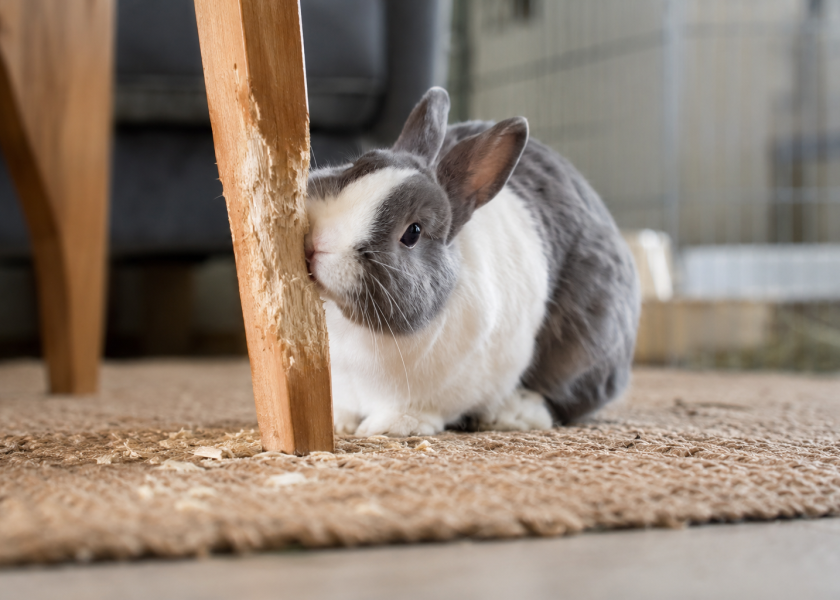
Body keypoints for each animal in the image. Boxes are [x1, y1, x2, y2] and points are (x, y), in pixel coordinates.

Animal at [305, 87, 640, 438]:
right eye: (357, 165)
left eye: (413, 232)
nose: (319, 243)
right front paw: (339, 423)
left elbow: (415, 410)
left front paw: (393, 427)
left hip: (585, 345)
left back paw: (512, 415)